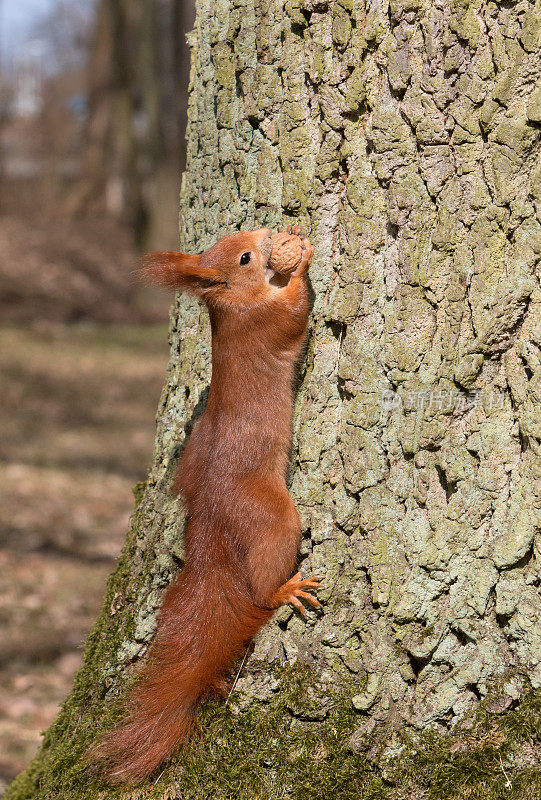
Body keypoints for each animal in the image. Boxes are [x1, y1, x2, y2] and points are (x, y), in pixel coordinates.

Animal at [93, 223, 320, 780]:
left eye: (241, 236)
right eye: (244, 257)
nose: (268, 234)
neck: (232, 304)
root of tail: (213, 518)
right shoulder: (267, 321)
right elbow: (294, 310)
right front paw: (301, 263)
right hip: (271, 516)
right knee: (263, 584)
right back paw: (284, 589)